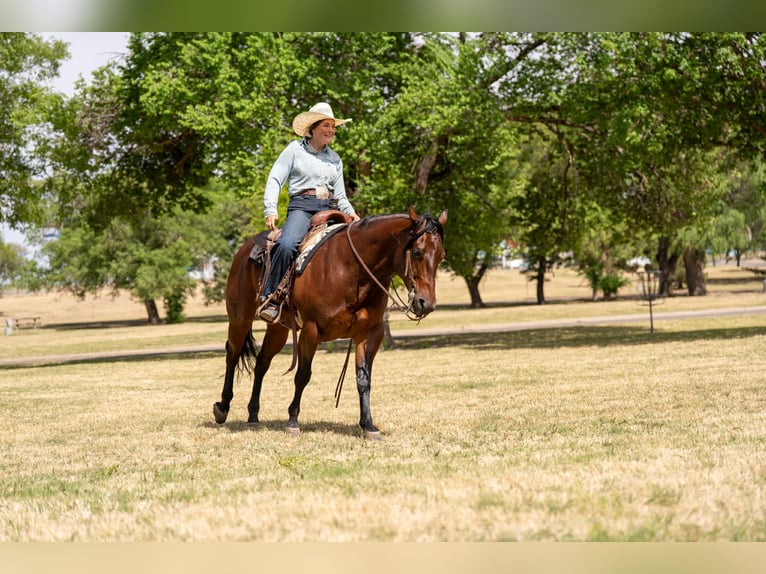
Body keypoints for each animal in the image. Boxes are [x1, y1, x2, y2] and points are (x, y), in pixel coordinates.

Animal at [213, 207, 447, 439]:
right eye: (417, 252)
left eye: (441, 256)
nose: (426, 303)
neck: (351, 269)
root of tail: (245, 249)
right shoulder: (311, 330)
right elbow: (303, 375)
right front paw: (292, 421)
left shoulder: (369, 333)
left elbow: (363, 380)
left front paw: (368, 425)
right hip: (240, 318)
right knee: (232, 354)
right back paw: (222, 408)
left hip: (278, 328)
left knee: (262, 363)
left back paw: (253, 415)